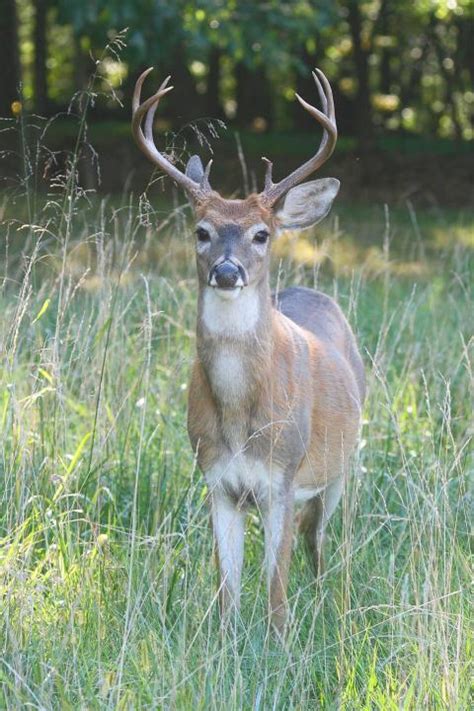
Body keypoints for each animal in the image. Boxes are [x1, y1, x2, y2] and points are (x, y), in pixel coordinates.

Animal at [131, 68, 364, 636]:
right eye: (202, 231)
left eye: (261, 234)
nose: (226, 271)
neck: (239, 416)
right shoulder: (216, 479)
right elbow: (228, 587)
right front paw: (226, 639)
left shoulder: (282, 474)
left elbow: (276, 588)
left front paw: (280, 641)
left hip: (341, 467)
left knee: (321, 540)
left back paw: (329, 600)